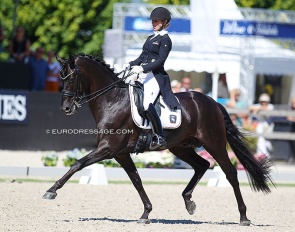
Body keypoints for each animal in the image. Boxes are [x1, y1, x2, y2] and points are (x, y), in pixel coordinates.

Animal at [42, 54, 276, 225]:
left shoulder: (108, 148)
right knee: (202, 165)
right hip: (180, 147)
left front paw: (51, 191)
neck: (112, 100)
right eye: (60, 77)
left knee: (230, 173)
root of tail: (212, 102)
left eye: (72, 78)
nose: (66, 108)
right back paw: (189, 202)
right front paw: (146, 213)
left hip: (214, 143)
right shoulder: (120, 153)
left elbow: (77, 164)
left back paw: (243, 217)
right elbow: (136, 180)